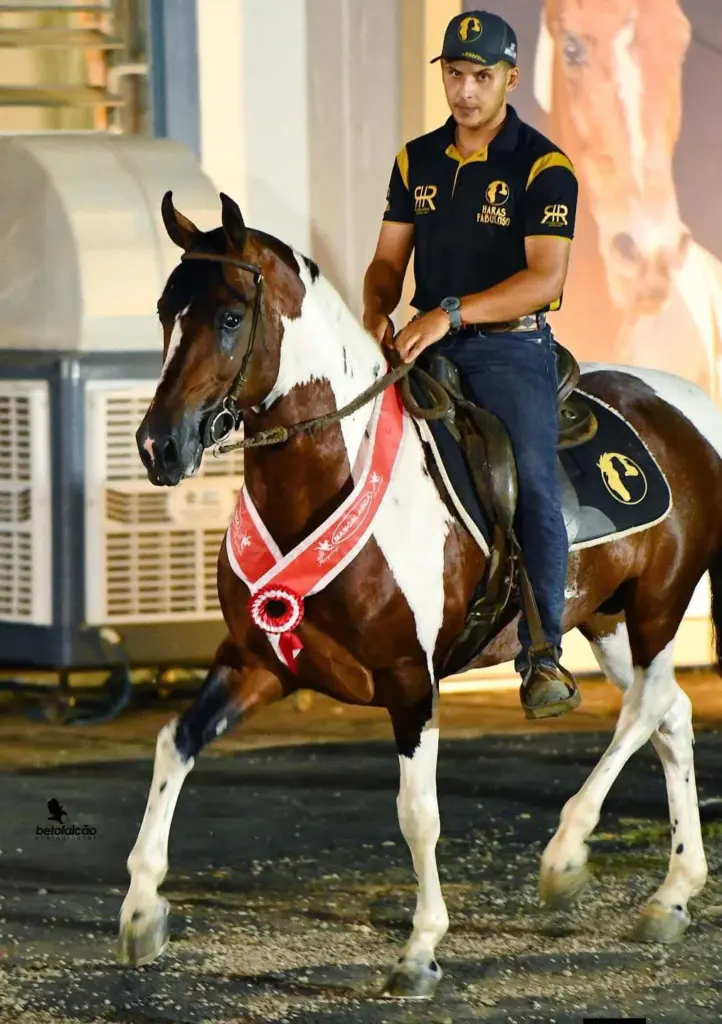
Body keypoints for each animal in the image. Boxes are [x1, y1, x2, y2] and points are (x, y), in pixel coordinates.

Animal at [119, 190, 722, 1000]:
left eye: (229, 318)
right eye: (165, 309)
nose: (160, 446)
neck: (327, 481)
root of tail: (689, 404)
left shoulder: (411, 680)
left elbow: (417, 812)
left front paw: (420, 949)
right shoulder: (256, 661)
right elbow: (173, 746)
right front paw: (141, 911)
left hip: (660, 602)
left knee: (644, 709)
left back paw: (565, 857)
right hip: (605, 621)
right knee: (672, 716)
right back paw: (671, 895)